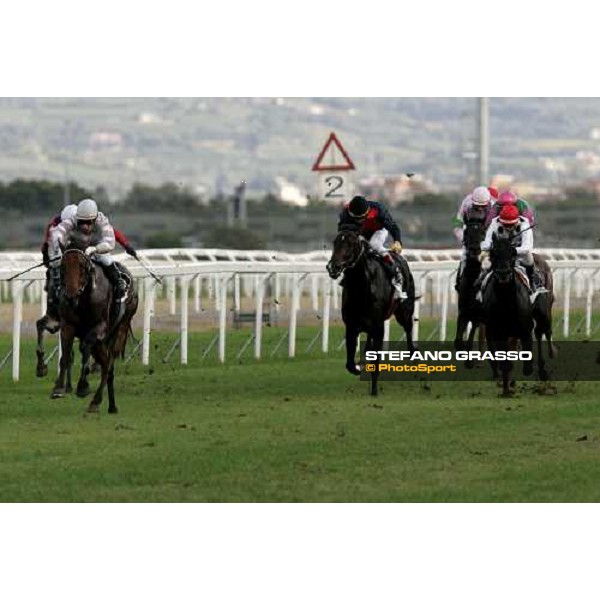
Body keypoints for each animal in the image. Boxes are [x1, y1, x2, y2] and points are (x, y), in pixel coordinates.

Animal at [52, 246, 138, 414]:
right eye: (62, 266)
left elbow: (85, 349)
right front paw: (58, 388)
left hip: (120, 329)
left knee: (108, 364)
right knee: (106, 365)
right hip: (101, 342)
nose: (71, 296)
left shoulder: (99, 327)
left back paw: (96, 400)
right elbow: (65, 356)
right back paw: (111, 405)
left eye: (82, 266)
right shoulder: (67, 326)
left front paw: (83, 386)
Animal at [328, 223, 418, 396]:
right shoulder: (351, 325)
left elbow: (376, 360)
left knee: (409, 329)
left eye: (351, 244)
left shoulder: (378, 327)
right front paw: (358, 367)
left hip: (404, 311)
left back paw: (413, 355)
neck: (362, 288)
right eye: (335, 242)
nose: (333, 267)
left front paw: (374, 390)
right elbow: (350, 362)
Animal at [482, 237, 536, 396]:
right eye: (493, 254)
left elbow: (525, 358)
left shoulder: (525, 329)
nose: (503, 273)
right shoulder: (498, 332)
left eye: (512, 254)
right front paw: (506, 389)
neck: (506, 302)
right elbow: (504, 361)